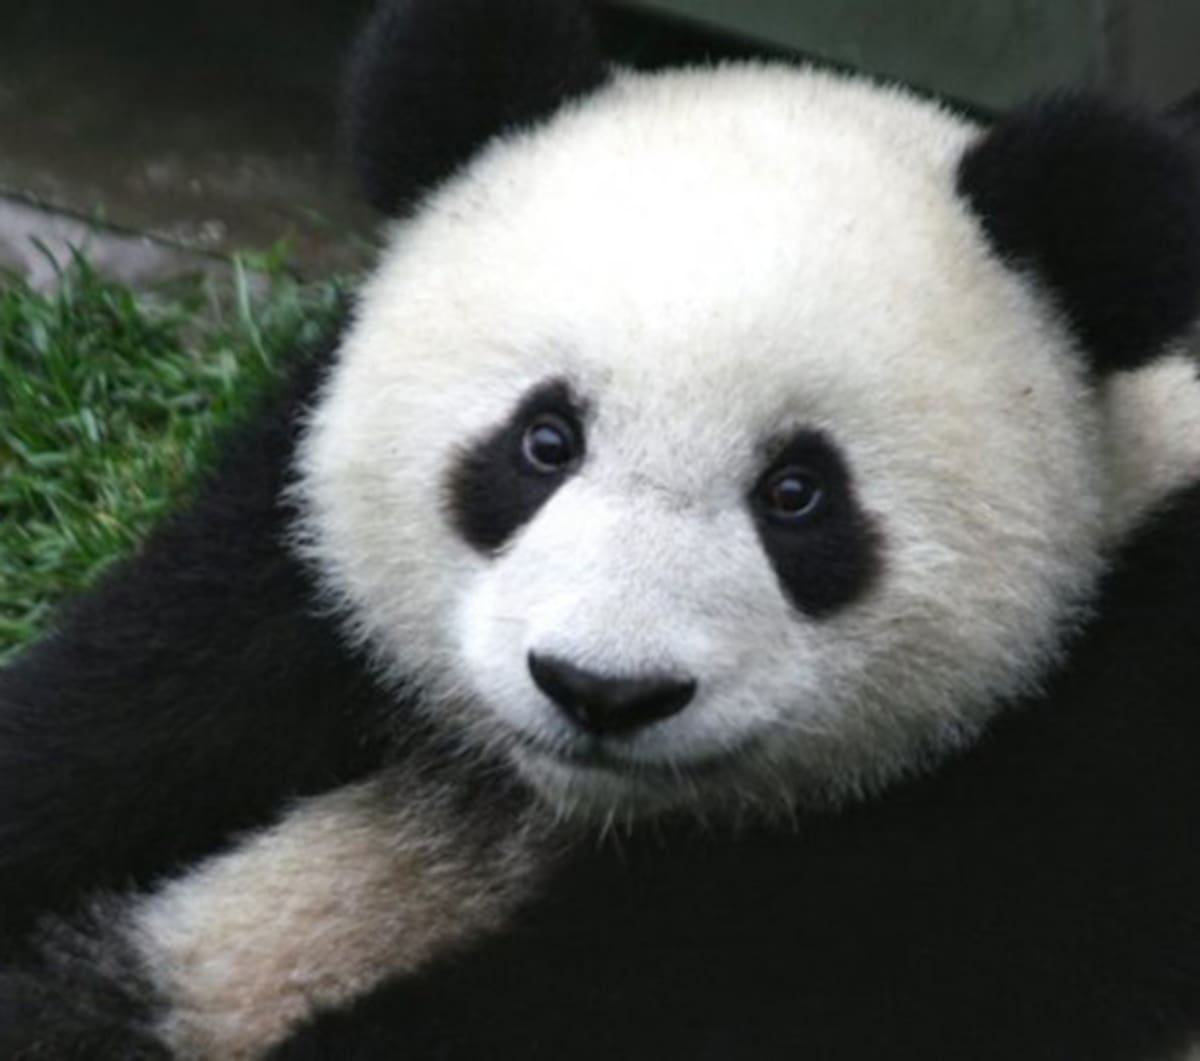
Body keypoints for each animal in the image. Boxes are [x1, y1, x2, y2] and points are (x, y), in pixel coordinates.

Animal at [3, 0, 1200, 1058]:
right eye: (545, 441)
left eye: (797, 493)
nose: (602, 690)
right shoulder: (283, 561)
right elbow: (137, 696)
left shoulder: (1105, 755)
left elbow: (741, 985)